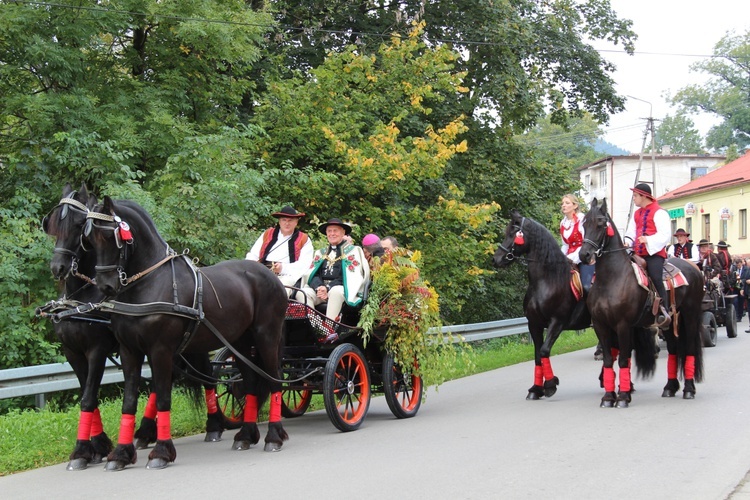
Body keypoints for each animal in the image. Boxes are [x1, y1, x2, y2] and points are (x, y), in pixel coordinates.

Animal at [84, 195, 290, 468]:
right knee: (249, 382)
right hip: (241, 343)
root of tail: (271, 275)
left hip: (267, 336)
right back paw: (246, 435)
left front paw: (161, 452)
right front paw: (120, 453)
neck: (148, 284)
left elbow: (163, 397)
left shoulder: (160, 350)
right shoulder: (130, 351)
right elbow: (129, 402)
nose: (106, 286)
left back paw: (274, 436)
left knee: (274, 379)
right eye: (89, 238)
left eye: (111, 236)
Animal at [494, 209, 592, 400]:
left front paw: (550, 385)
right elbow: (537, 355)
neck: (547, 280)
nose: (496, 259)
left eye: (512, 233)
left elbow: (545, 350)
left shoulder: (557, 322)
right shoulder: (534, 324)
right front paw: (535, 389)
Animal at [580, 199, 704, 406]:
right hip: (668, 323)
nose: (584, 254)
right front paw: (609, 396)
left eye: (600, 224)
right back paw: (670, 387)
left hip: (691, 315)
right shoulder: (601, 325)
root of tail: (694, 268)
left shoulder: (622, 325)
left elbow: (623, 359)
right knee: (673, 349)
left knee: (689, 349)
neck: (611, 279)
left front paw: (623, 397)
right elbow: (608, 360)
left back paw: (688, 389)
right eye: (584, 224)